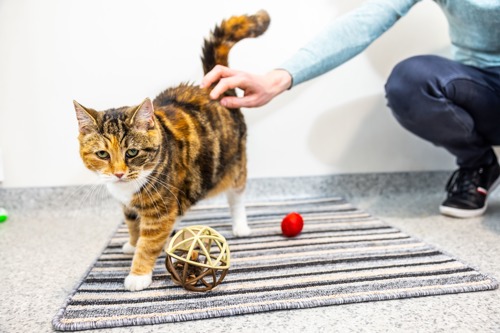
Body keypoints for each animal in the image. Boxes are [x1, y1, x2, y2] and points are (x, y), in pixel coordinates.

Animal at [72, 9, 270, 290]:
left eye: (132, 153)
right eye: (102, 154)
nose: (119, 173)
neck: (127, 188)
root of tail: (214, 89)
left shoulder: (160, 211)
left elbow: (148, 242)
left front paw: (138, 275)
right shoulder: (129, 207)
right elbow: (132, 225)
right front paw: (131, 243)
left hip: (236, 165)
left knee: (237, 197)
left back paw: (240, 225)